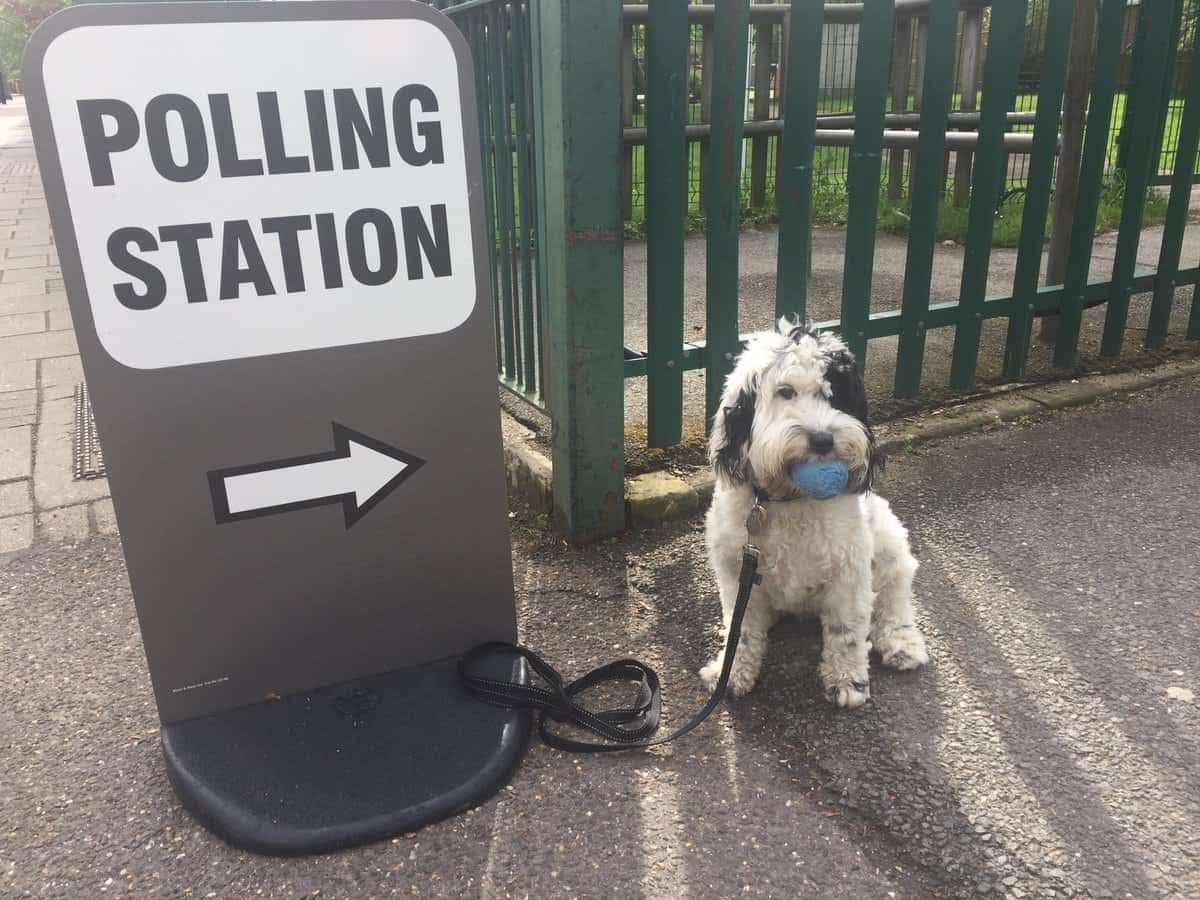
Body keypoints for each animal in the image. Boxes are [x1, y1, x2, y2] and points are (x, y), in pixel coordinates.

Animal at [696, 321, 926, 710]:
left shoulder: (849, 572)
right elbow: (742, 630)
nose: (822, 440)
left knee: (894, 596)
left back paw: (901, 642)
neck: (790, 498)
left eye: (835, 395)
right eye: (785, 392)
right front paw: (733, 672)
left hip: (888, 542)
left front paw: (847, 681)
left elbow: (846, 632)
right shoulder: (735, 570)